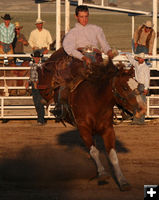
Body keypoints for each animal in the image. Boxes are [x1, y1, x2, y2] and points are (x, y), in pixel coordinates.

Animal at [37, 48, 147, 191]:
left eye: (138, 85)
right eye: (125, 87)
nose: (142, 109)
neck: (95, 100)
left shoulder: (108, 129)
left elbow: (112, 155)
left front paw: (122, 181)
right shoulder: (83, 128)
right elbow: (94, 151)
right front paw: (102, 173)